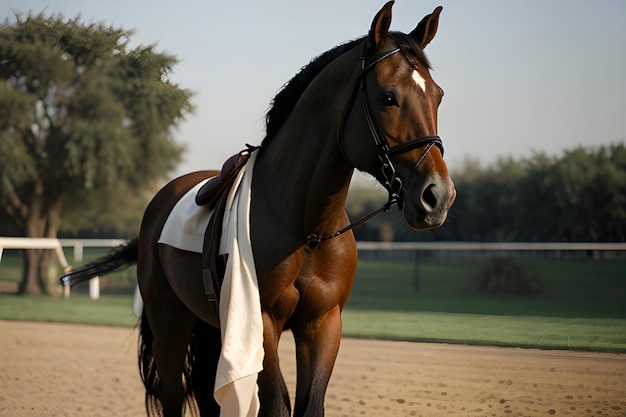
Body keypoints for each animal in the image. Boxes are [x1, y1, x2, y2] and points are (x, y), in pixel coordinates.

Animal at [62, 1, 454, 414]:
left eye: (438, 96)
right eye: (388, 97)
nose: (437, 195)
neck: (307, 230)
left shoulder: (323, 323)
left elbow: (310, 404)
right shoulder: (261, 324)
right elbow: (277, 403)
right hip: (170, 323)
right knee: (173, 394)